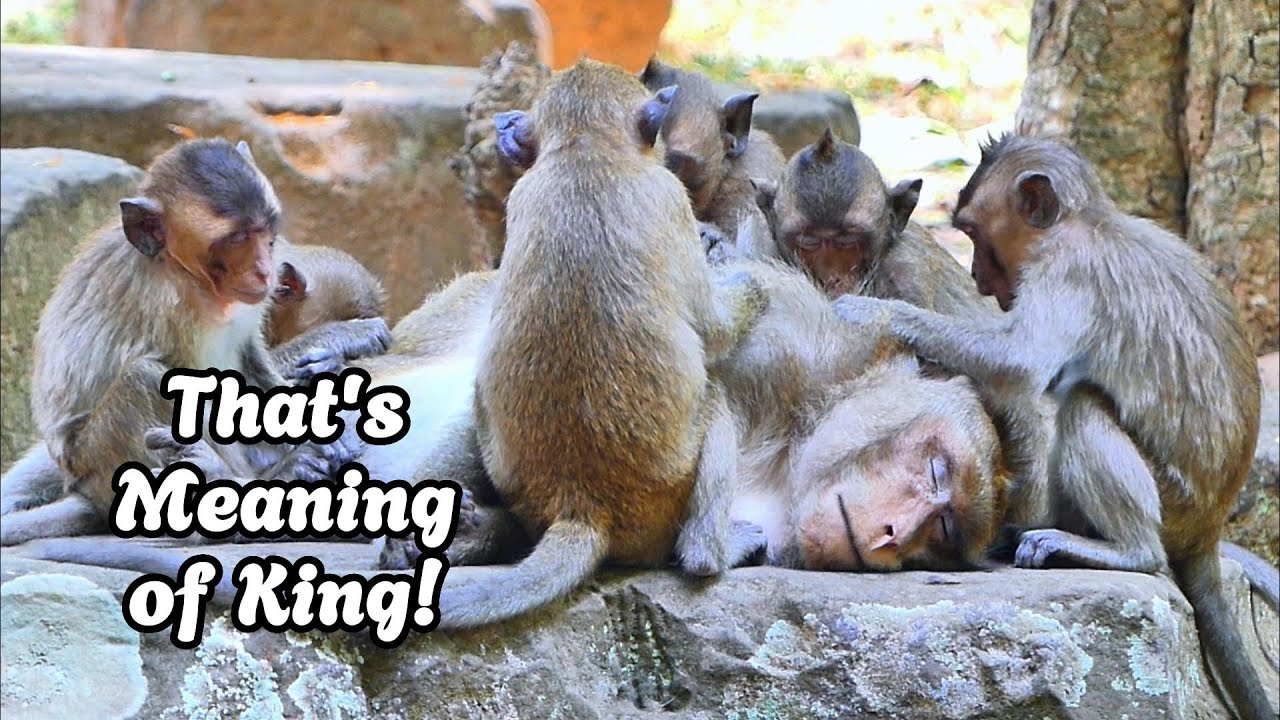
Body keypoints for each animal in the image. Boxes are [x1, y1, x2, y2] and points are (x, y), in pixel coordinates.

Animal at [0, 139, 355, 548]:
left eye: (266, 230)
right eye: (236, 239)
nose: (264, 270)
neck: (183, 270)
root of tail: (81, 486)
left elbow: (249, 357)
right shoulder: (171, 305)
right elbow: (198, 391)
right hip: (98, 462)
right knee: (141, 377)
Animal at [831, 134, 1272, 720]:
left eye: (972, 232)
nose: (978, 278)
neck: (1088, 221)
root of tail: (1209, 528)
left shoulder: (1066, 269)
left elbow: (1021, 361)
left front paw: (877, 313)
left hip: (1175, 502)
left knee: (1082, 405)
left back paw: (1125, 550)